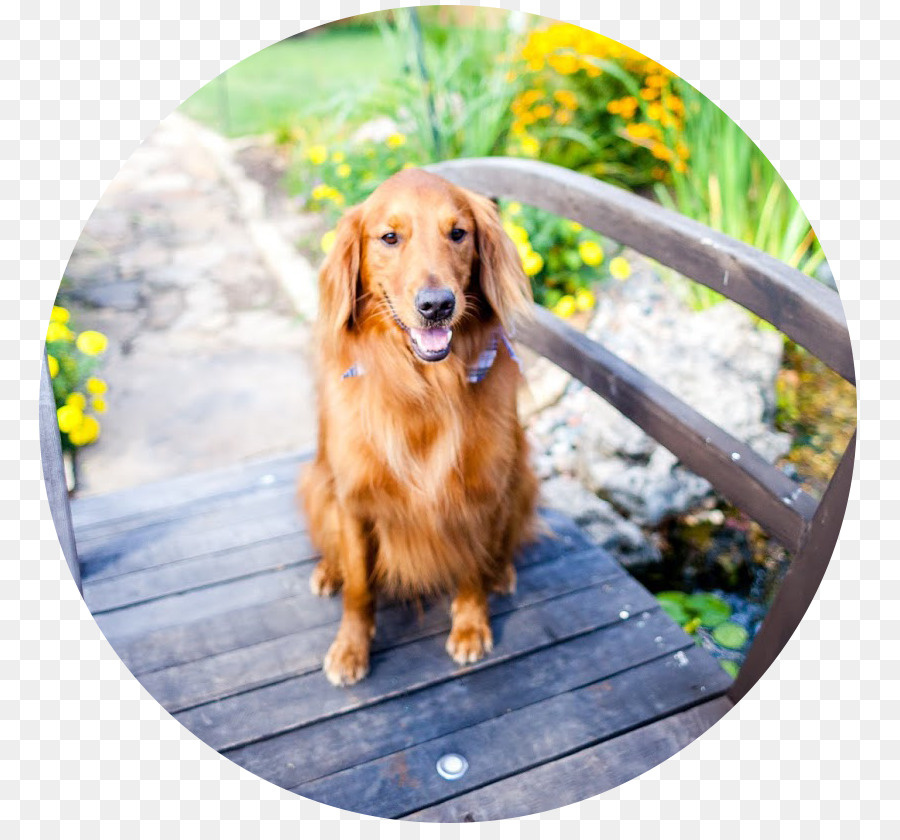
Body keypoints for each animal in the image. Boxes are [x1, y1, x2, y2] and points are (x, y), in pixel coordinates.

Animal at [302, 167, 536, 684]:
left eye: (458, 233)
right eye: (389, 237)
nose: (437, 305)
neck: (426, 388)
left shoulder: (480, 490)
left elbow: (471, 566)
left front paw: (470, 625)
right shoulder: (354, 498)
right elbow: (359, 588)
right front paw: (351, 648)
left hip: (522, 477)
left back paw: (502, 573)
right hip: (314, 481)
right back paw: (328, 571)